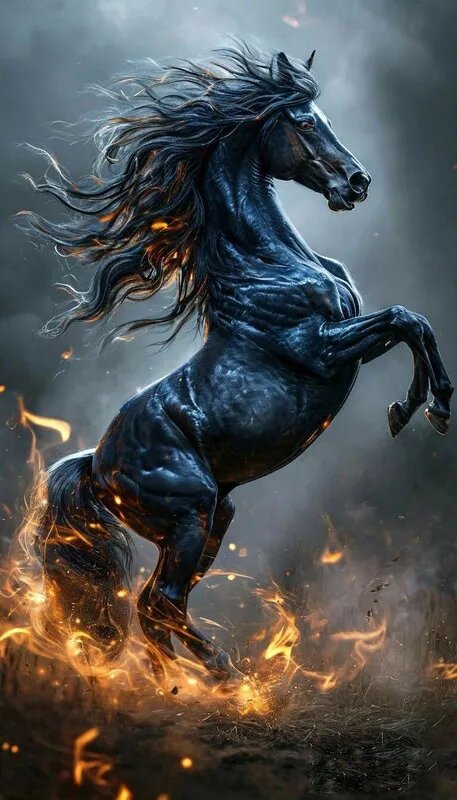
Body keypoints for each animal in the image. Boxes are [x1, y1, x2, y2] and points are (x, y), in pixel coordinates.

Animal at [22, 43, 452, 685]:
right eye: (304, 123)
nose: (357, 182)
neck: (265, 263)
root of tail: (96, 466)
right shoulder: (321, 348)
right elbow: (405, 319)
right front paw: (426, 407)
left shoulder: (347, 338)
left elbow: (413, 323)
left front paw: (417, 407)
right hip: (190, 514)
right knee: (162, 602)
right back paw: (224, 675)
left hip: (214, 518)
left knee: (155, 608)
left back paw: (179, 684)